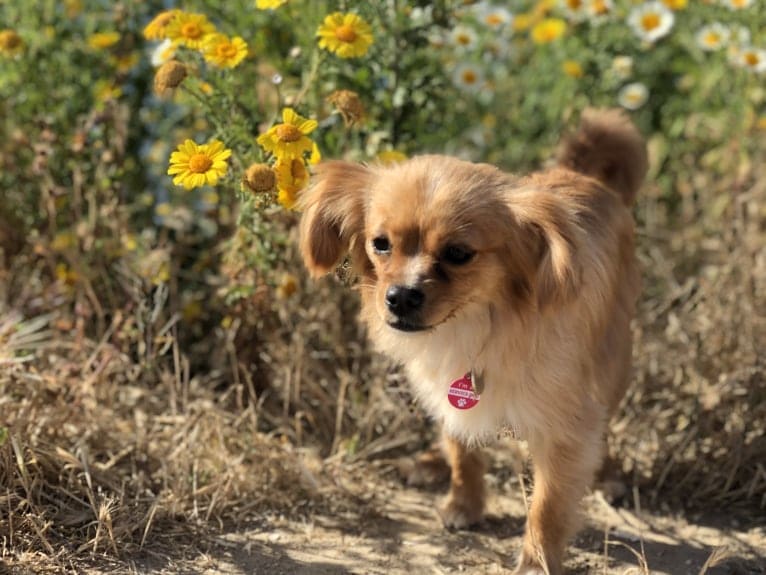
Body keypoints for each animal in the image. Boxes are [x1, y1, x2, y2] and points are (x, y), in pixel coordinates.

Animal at [300, 109, 648, 575]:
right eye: (381, 244)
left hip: (611, 362)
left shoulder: (567, 428)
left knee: (607, 420)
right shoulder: (448, 390)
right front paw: (464, 503)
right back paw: (430, 462)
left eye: (458, 253)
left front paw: (536, 562)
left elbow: (548, 507)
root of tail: (584, 175)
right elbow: (462, 448)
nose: (401, 296)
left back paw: (608, 475)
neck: (475, 325)